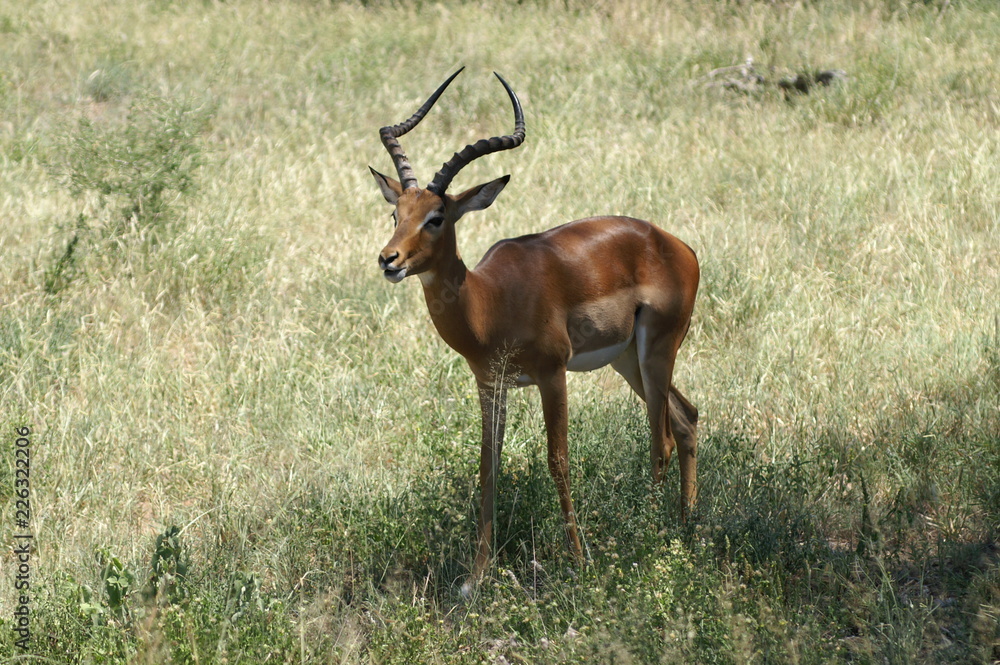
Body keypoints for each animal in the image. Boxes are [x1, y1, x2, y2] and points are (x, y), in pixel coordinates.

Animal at [371, 68, 699, 585]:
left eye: (436, 217)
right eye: (395, 213)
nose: (389, 259)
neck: (490, 301)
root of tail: (678, 246)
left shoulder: (553, 374)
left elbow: (557, 460)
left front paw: (580, 564)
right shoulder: (490, 384)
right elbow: (488, 467)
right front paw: (475, 578)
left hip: (656, 351)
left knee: (661, 439)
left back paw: (650, 536)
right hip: (628, 360)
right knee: (688, 419)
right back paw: (682, 528)